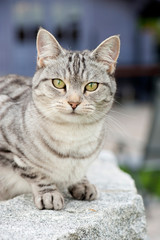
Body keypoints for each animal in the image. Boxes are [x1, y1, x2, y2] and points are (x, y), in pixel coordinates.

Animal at [0, 28, 120, 210]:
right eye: (58, 83)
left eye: (92, 86)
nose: (74, 102)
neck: (73, 138)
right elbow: (34, 172)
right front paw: (49, 193)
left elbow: (79, 172)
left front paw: (82, 183)